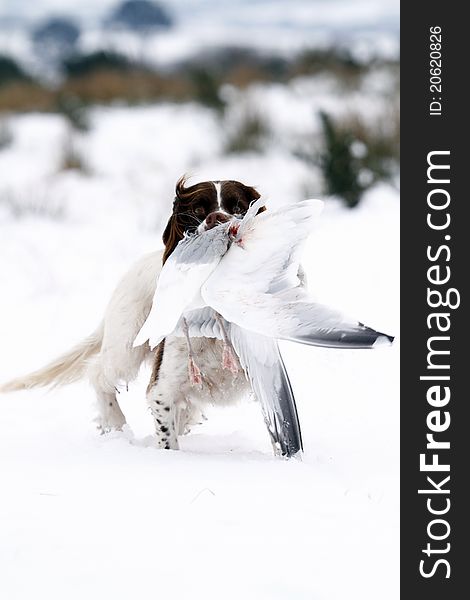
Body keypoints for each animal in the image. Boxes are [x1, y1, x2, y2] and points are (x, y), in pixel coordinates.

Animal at [0, 178, 264, 450]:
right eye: (198, 209)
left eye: (238, 206)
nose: (217, 218)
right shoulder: (161, 390)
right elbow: (167, 438)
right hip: (124, 349)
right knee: (97, 373)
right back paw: (115, 424)